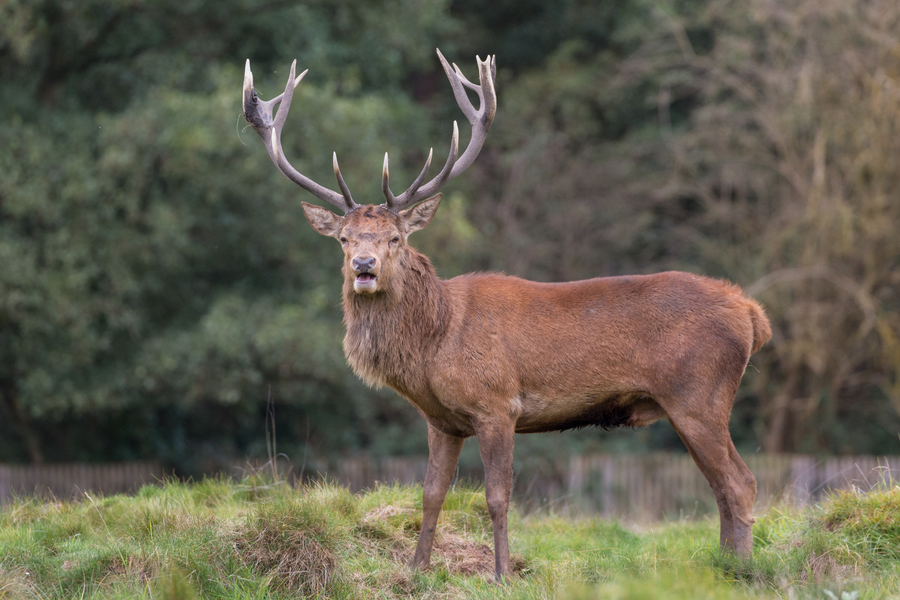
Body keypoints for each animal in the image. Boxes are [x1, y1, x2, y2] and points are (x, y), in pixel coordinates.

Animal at [241, 48, 772, 580]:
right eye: (344, 239)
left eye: (395, 238)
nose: (364, 267)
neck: (436, 343)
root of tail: (751, 313)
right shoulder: (442, 420)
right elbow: (431, 494)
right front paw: (417, 569)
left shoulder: (497, 403)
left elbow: (497, 496)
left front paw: (501, 573)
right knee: (721, 487)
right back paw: (725, 568)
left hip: (699, 396)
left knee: (741, 482)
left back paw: (744, 572)